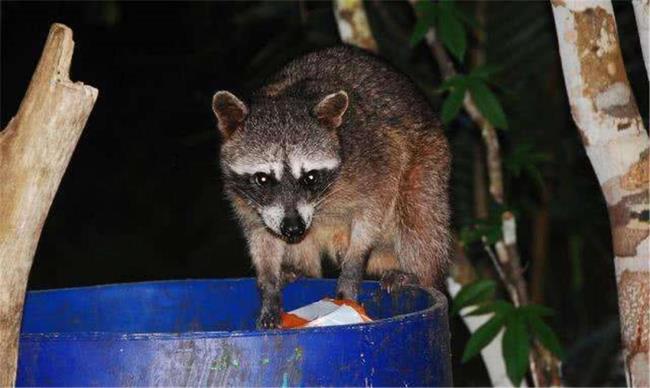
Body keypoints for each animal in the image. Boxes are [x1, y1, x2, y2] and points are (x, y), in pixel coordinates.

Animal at [210, 46, 448, 330]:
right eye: (263, 179)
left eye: (310, 178)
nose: (293, 228)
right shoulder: (247, 200)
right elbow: (261, 235)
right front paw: (268, 285)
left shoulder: (376, 159)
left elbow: (374, 210)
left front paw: (353, 269)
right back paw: (301, 269)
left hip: (429, 160)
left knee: (417, 214)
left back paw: (416, 273)